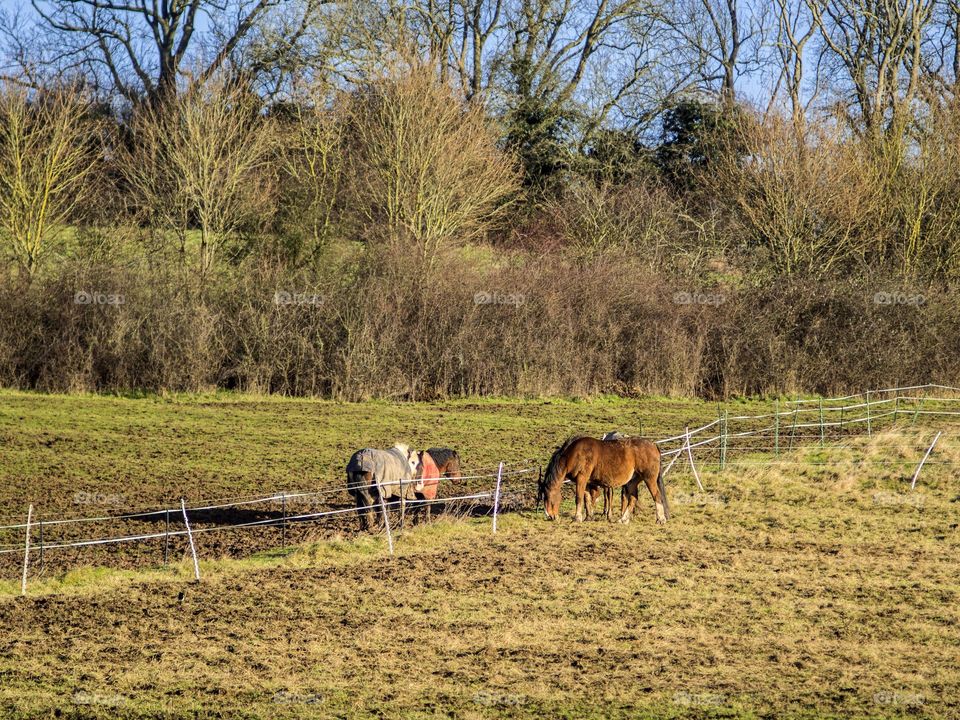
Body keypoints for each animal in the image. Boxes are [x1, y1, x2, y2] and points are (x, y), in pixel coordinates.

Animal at [540, 436, 668, 524]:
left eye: (549, 498)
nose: (550, 516)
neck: (574, 454)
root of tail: (653, 445)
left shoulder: (582, 478)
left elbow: (579, 498)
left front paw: (577, 518)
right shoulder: (586, 482)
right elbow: (587, 498)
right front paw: (588, 517)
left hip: (649, 479)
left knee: (656, 496)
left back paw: (661, 519)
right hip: (632, 481)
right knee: (633, 498)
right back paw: (623, 519)